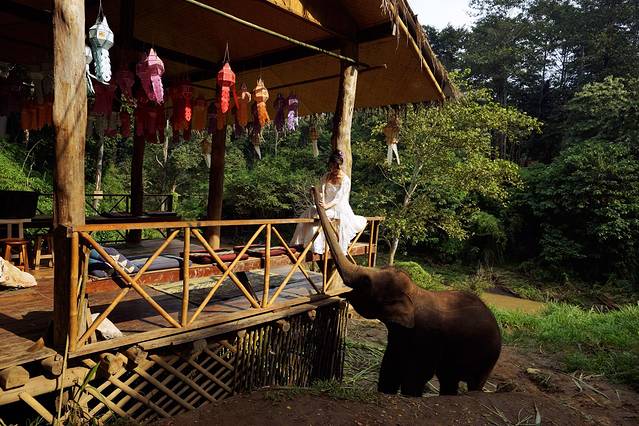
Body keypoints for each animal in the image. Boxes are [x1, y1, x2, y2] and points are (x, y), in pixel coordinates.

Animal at [311, 187, 501, 396]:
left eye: (366, 282)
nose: (314, 189)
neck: (414, 292)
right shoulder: (398, 336)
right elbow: (388, 371)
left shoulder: (426, 338)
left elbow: (414, 379)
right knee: (449, 379)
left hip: (488, 357)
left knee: (474, 383)